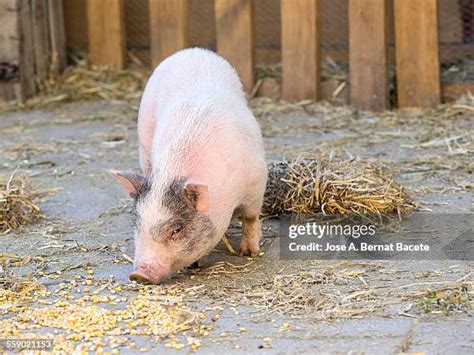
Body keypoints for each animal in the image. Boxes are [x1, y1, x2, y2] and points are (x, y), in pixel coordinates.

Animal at [111, 48, 266, 286]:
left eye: (177, 229)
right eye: (136, 224)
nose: (139, 274)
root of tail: (190, 51)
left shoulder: (257, 180)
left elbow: (250, 217)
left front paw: (249, 253)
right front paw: (194, 265)